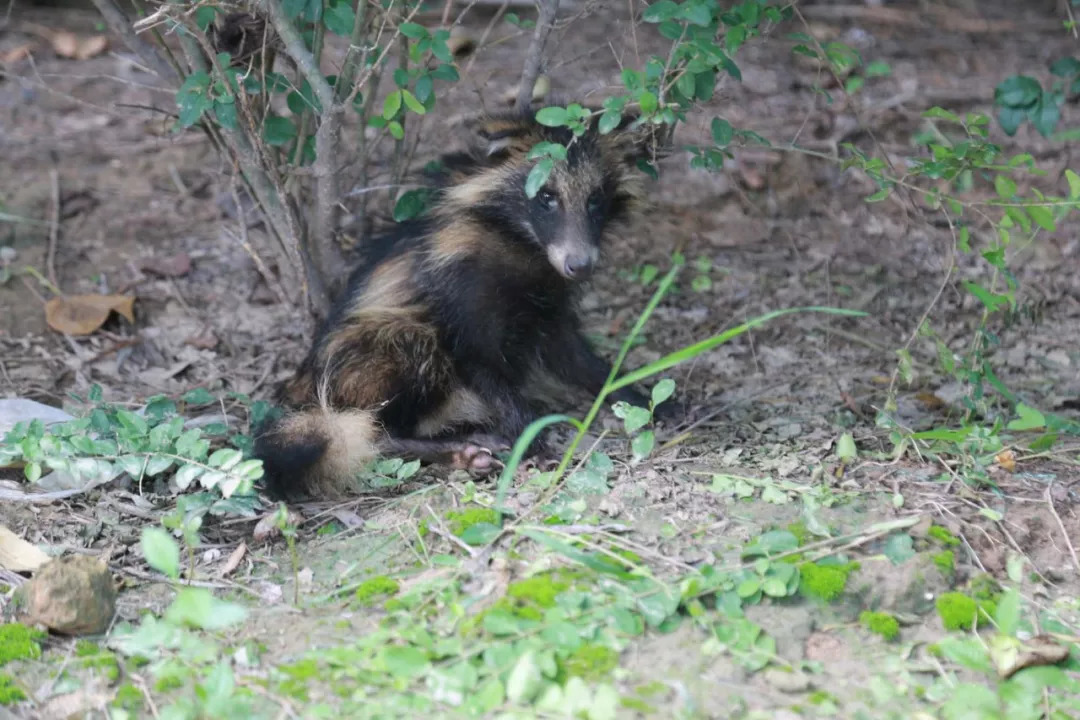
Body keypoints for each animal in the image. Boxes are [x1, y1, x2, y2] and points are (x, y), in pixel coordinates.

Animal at [257, 108, 669, 500]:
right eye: (546, 197)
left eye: (595, 199)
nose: (580, 265)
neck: (525, 245)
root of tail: (300, 387)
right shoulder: (461, 294)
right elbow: (483, 366)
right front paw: (532, 440)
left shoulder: (551, 307)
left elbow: (579, 359)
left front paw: (639, 395)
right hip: (371, 351)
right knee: (378, 414)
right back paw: (445, 448)